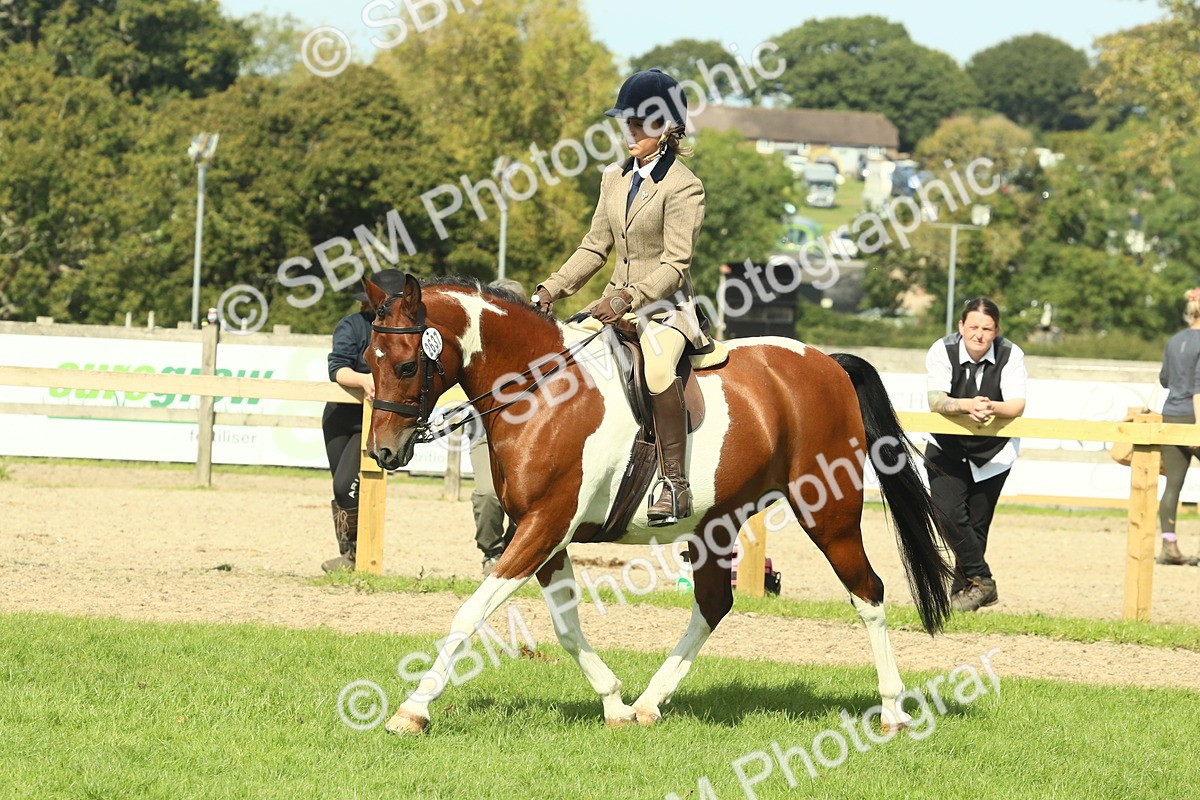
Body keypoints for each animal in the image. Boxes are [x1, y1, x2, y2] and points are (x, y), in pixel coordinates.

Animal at [362, 273, 953, 734]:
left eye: (409, 366)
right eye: (369, 359)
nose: (384, 452)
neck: (541, 390)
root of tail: (825, 363)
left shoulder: (544, 525)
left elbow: (470, 613)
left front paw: (413, 710)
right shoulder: (545, 533)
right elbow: (566, 626)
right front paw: (615, 704)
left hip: (828, 512)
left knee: (868, 593)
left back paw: (893, 711)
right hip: (716, 524)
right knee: (714, 603)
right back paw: (648, 704)